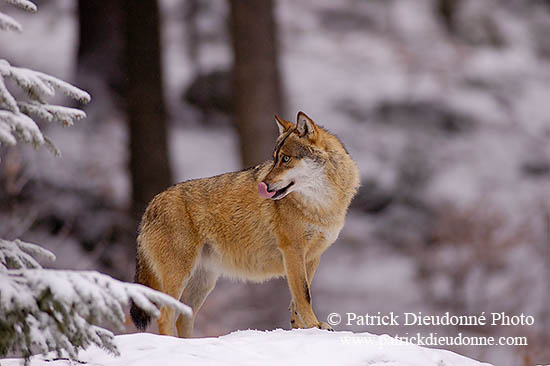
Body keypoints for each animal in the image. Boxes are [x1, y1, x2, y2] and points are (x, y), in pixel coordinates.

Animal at [129, 111, 362, 338]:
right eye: (274, 159)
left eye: (286, 158)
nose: (263, 185)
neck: (322, 206)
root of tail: (150, 206)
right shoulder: (293, 251)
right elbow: (304, 296)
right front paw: (314, 328)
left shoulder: (312, 256)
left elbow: (298, 299)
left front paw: (301, 329)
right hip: (180, 276)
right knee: (165, 317)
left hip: (203, 283)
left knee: (182, 319)